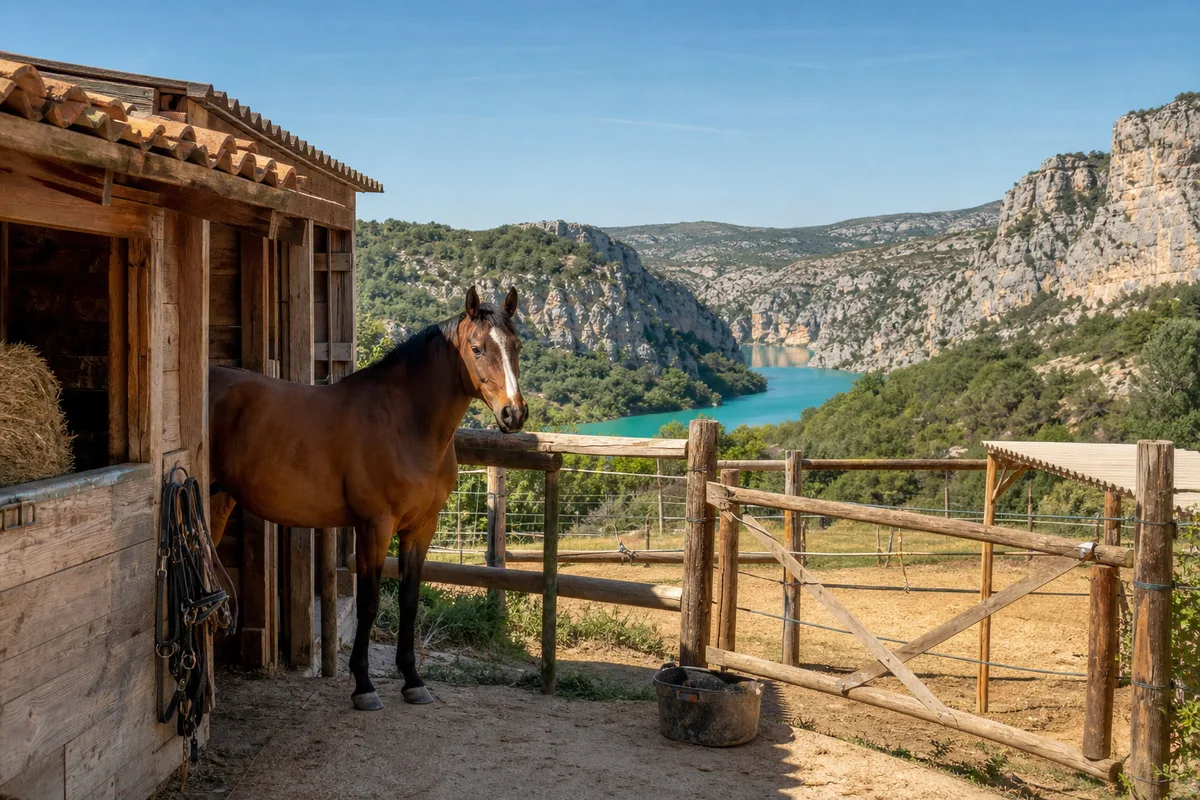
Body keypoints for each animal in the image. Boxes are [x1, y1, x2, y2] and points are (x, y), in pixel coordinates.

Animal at [206, 286, 527, 710]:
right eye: (477, 348)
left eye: (516, 346)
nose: (514, 415)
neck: (403, 422)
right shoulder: (375, 527)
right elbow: (369, 602)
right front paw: (363, 685)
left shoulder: (420, 528)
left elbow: (409, 600)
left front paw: (412, 680)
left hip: (218, 500)